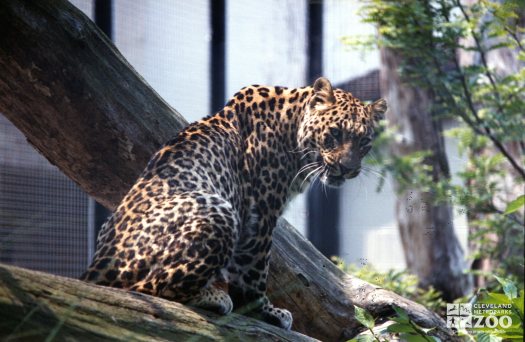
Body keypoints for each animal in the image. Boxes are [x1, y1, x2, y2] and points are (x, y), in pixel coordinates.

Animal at [81, 77, 384, 328]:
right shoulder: (260, 215)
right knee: (148, 288)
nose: (348, 169)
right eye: (335, 133)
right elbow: (254, 271)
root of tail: (97, 266)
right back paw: (215, 297)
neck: (292, 127)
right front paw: (265, 312)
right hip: (219, 211)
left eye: (364, 142)